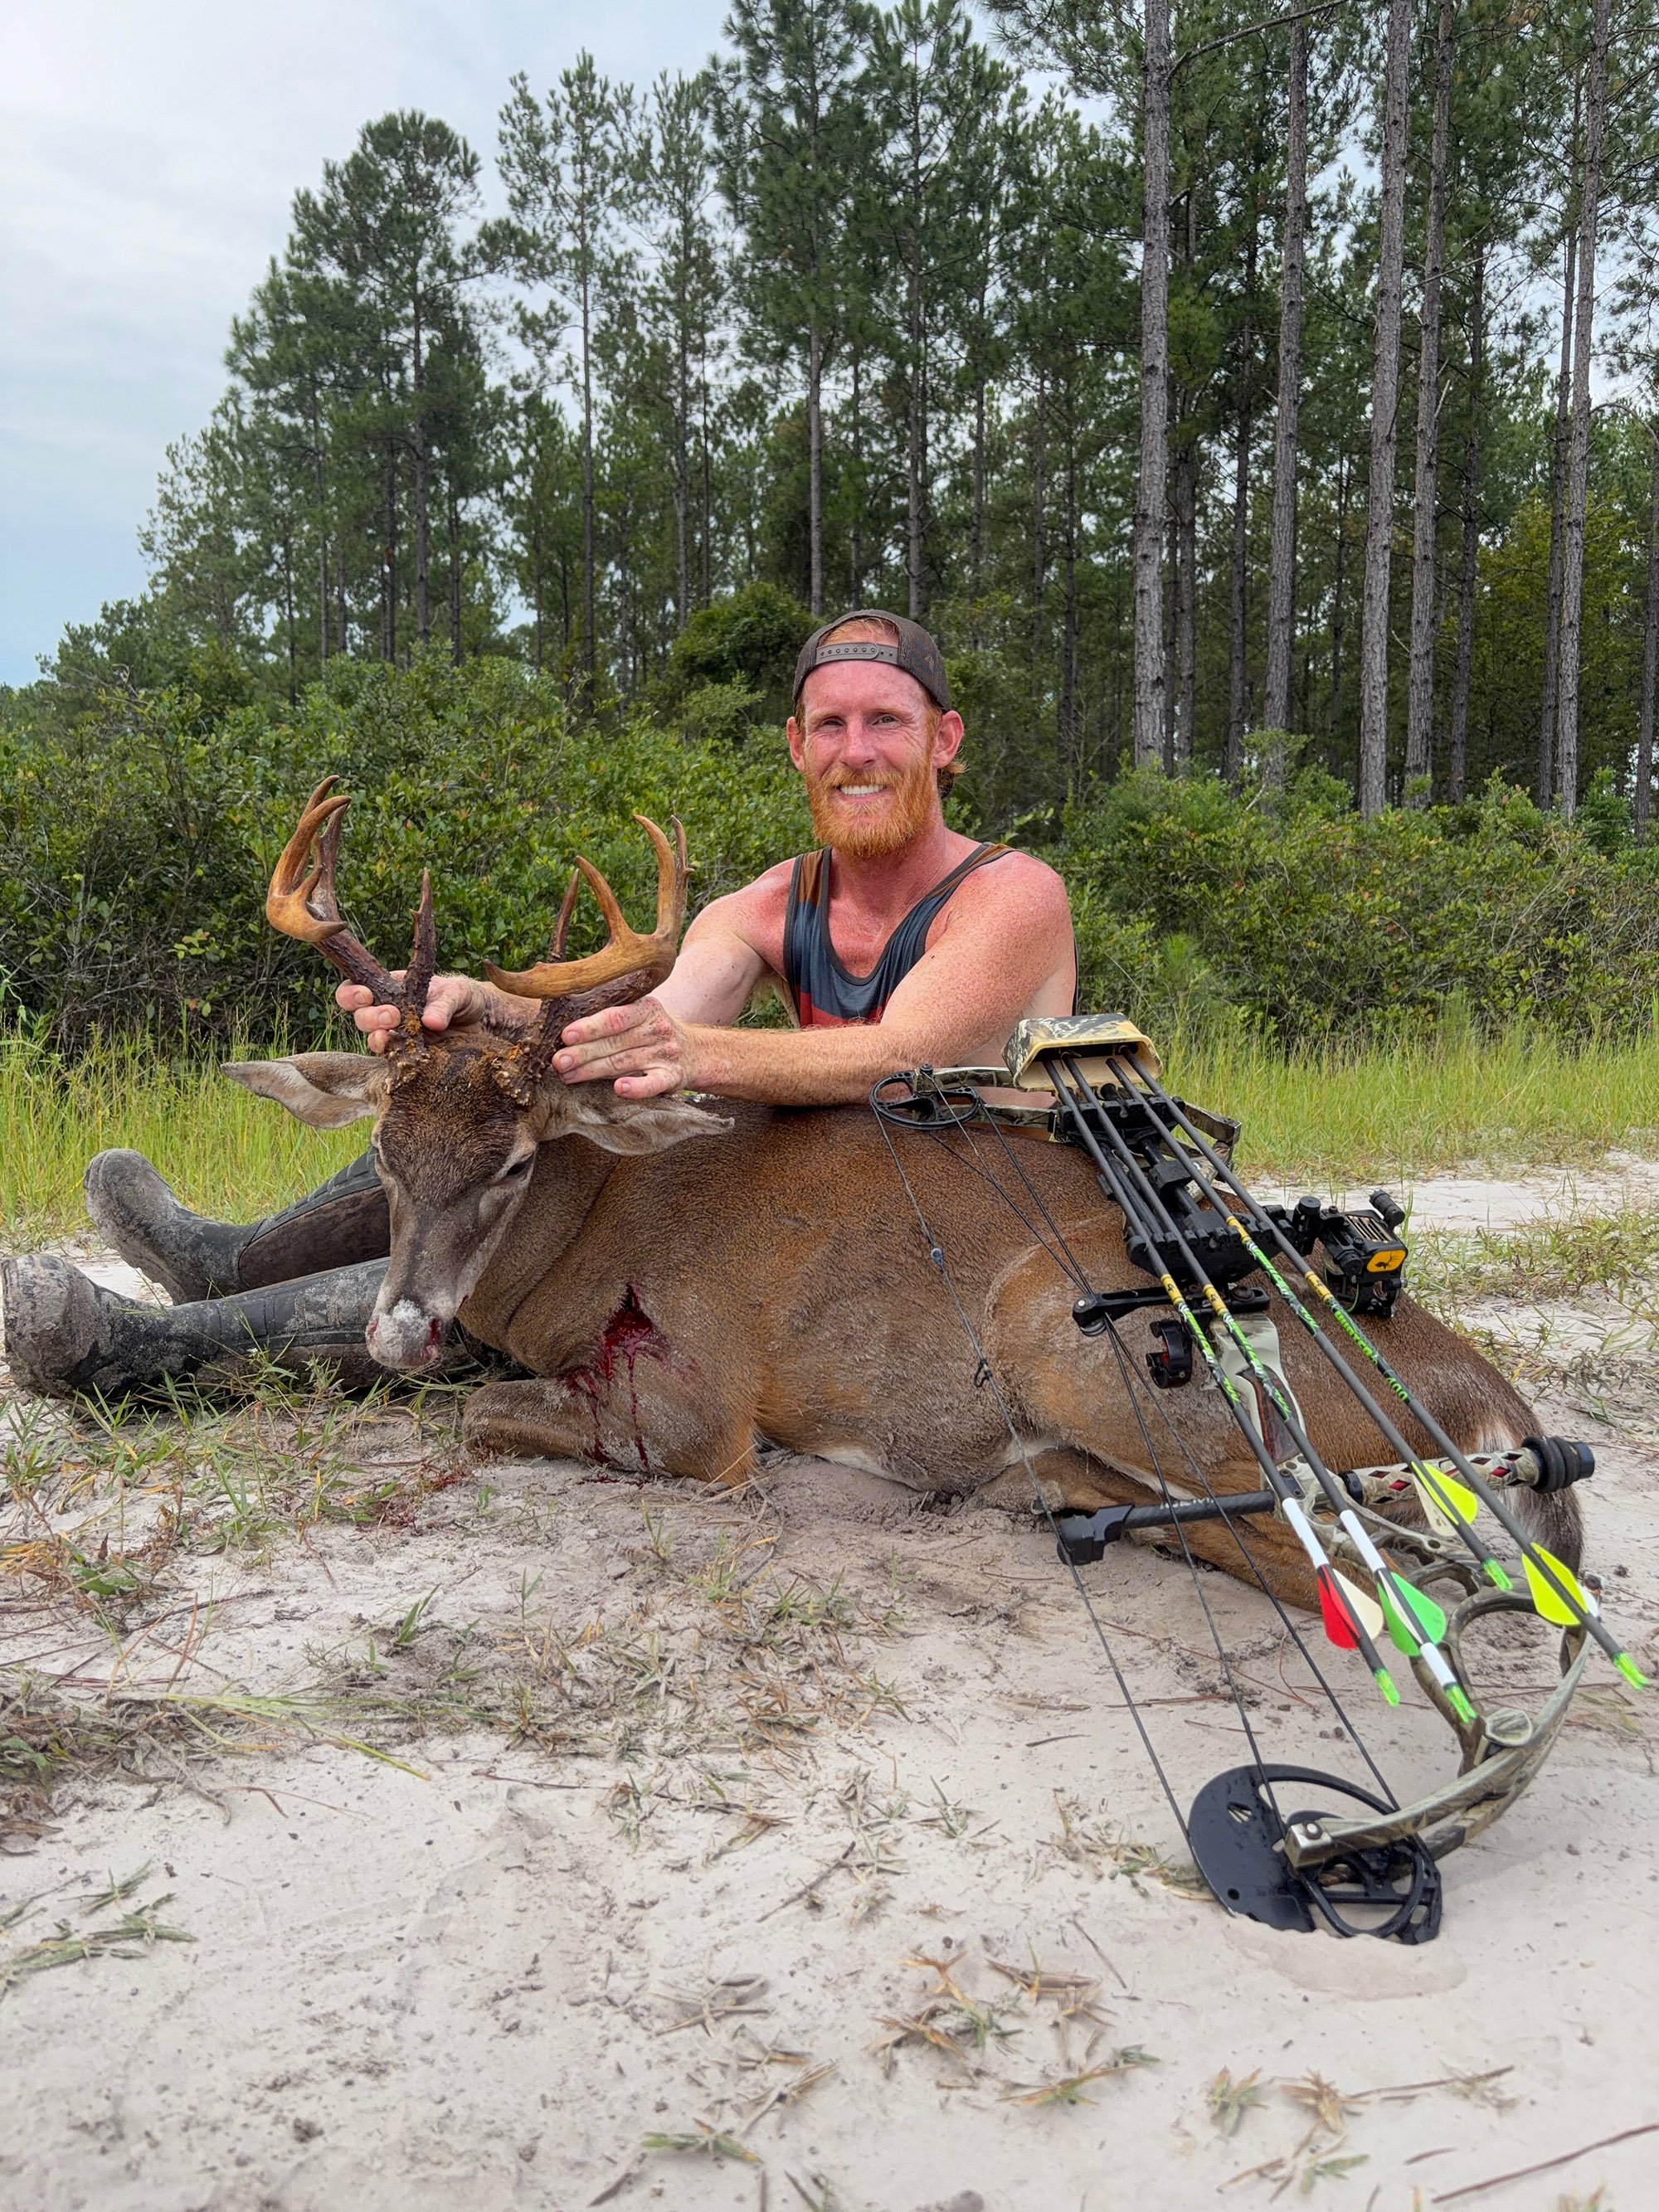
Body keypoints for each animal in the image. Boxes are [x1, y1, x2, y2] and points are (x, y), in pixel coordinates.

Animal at [224, 781, 1583, 1608]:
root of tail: (1498, 1408)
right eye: (385, 1152)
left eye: (511, 1162)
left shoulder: (699, 1409)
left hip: (1068, 1327)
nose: (399, 1331)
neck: (588, 1229)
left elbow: (481, 1416)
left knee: (1349, 1568)